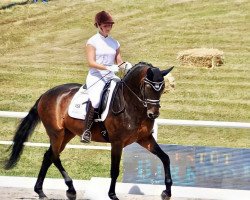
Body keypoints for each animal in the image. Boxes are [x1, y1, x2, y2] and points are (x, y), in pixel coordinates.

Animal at [4, 61, 173, 199]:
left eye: (162, 87)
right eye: (148, 86)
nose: (153, 114)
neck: (131, 104)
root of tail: (46, 94)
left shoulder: (144, 138)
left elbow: (165, 158)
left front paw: (167, 192)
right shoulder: (117, 142)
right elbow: (114, 170)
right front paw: (112, 195)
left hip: (67, 134)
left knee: (49, 156)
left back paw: (41, 191)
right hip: (56, 133)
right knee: (54, 156)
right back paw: (70, 189)